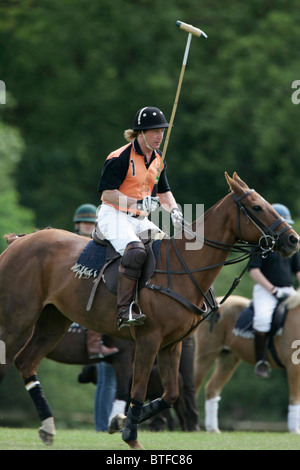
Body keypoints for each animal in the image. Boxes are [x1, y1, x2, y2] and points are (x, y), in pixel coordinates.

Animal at [195, 294, 300, 434]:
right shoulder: (293, 366)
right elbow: (295, 398)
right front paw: (295, 430)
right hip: (206, 354)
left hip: (228, 358)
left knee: (212, 388)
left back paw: (213, 429)